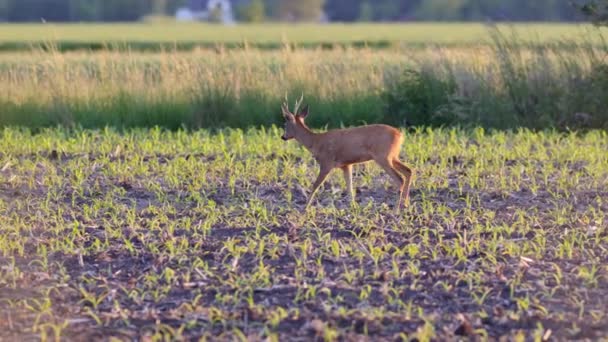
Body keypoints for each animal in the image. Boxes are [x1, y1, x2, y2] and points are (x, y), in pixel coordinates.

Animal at [282, 93, 416, 211]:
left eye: (285, 124)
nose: (283, 137)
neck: (316, 142)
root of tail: (400, 135)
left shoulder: (327, 163)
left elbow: (315, 185)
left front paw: (305, 207)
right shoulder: (346, 165)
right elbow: (349, 188)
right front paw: (353, 207)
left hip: (383, 156)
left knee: (400, 179)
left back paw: (396, 209)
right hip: (393, 156)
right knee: (408, 171)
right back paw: (406, 204)